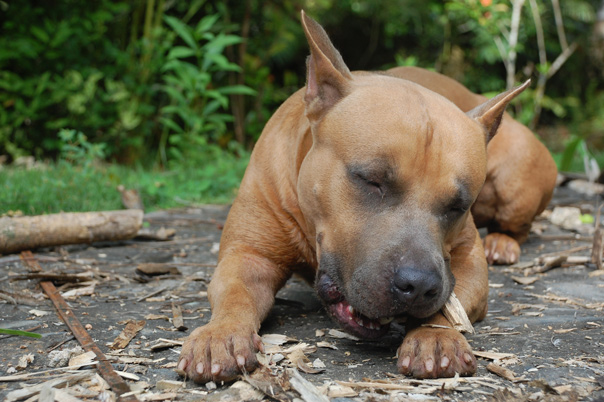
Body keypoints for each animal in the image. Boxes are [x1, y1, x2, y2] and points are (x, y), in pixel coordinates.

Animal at [175, 11, 556, 384]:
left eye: (458, 206)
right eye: (372, 181)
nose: (419, 285)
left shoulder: (467, 262)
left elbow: (452, 302)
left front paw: (434, 336)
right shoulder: (248, 256)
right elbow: (235, 293)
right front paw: (221, 333)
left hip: (515, 180)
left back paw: (502, 243)